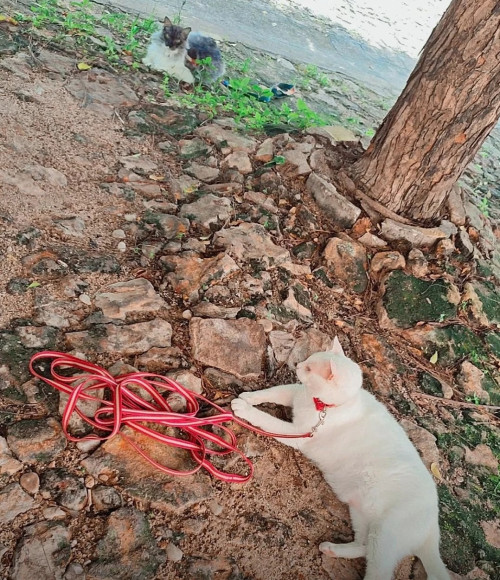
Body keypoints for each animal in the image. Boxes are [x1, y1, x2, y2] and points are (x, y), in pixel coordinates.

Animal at [232, 338, 452, 580]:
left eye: (309, 369)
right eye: (307, 360)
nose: (298, 364)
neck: (324, 406)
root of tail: (433, 526)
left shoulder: (298, 434)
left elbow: (266, 420)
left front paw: (244, 409)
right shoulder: (294, 392)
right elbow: (273, 391)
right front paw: (249, 397)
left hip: (385, 536)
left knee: (378, 570)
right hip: (361, 516)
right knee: (363, 545)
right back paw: (333, 549)